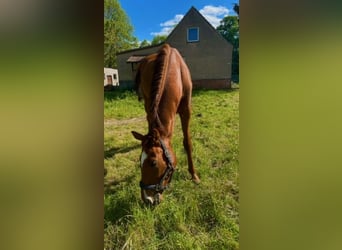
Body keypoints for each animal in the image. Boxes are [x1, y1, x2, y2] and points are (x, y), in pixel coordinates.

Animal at [132, 43, 200, 205]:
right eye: (139, 161)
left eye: (153, 163)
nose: (147, 199)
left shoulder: (186, 110)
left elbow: (187, 143)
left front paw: (194, 175)